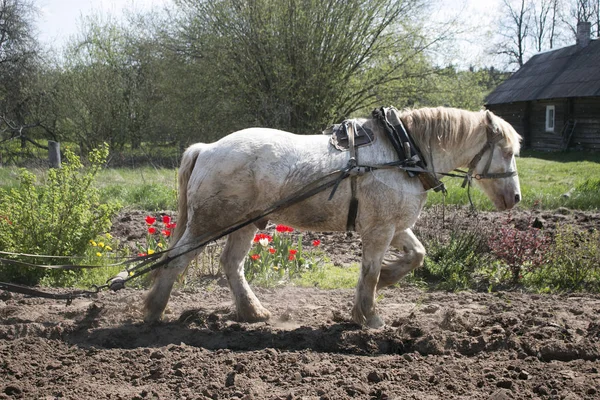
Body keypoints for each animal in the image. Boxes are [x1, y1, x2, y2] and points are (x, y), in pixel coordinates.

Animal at [144, 107, 520, 328]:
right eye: (507, 151)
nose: (515, 198)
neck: (402, 152)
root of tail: (207, 148)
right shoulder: (380, 230)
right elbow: (369, 272)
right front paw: (370, 315)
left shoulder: (394, 225)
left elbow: (416, 255)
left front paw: (385, 281)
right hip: (210, 223)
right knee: (176, 259)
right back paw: (153, 310)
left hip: (247, 222)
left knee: (231, 264)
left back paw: (253, 312)